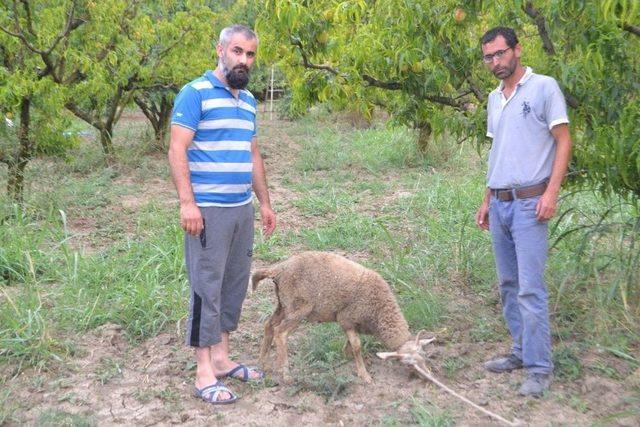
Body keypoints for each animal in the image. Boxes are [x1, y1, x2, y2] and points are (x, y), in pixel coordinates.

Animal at [248, 251, 432, 384]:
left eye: (424, 357)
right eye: (409, 364)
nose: (428, 377)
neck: (380, 312)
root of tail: (279, 268)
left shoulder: (351, 323)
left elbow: (351, 344)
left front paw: (349, 356)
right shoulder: (347, 318)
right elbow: (357, 345)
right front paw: (364, 374)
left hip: (284, 304)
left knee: (269, 325)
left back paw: (263, 363)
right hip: (299, 308)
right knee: (280, 333)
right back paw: (286, 375)